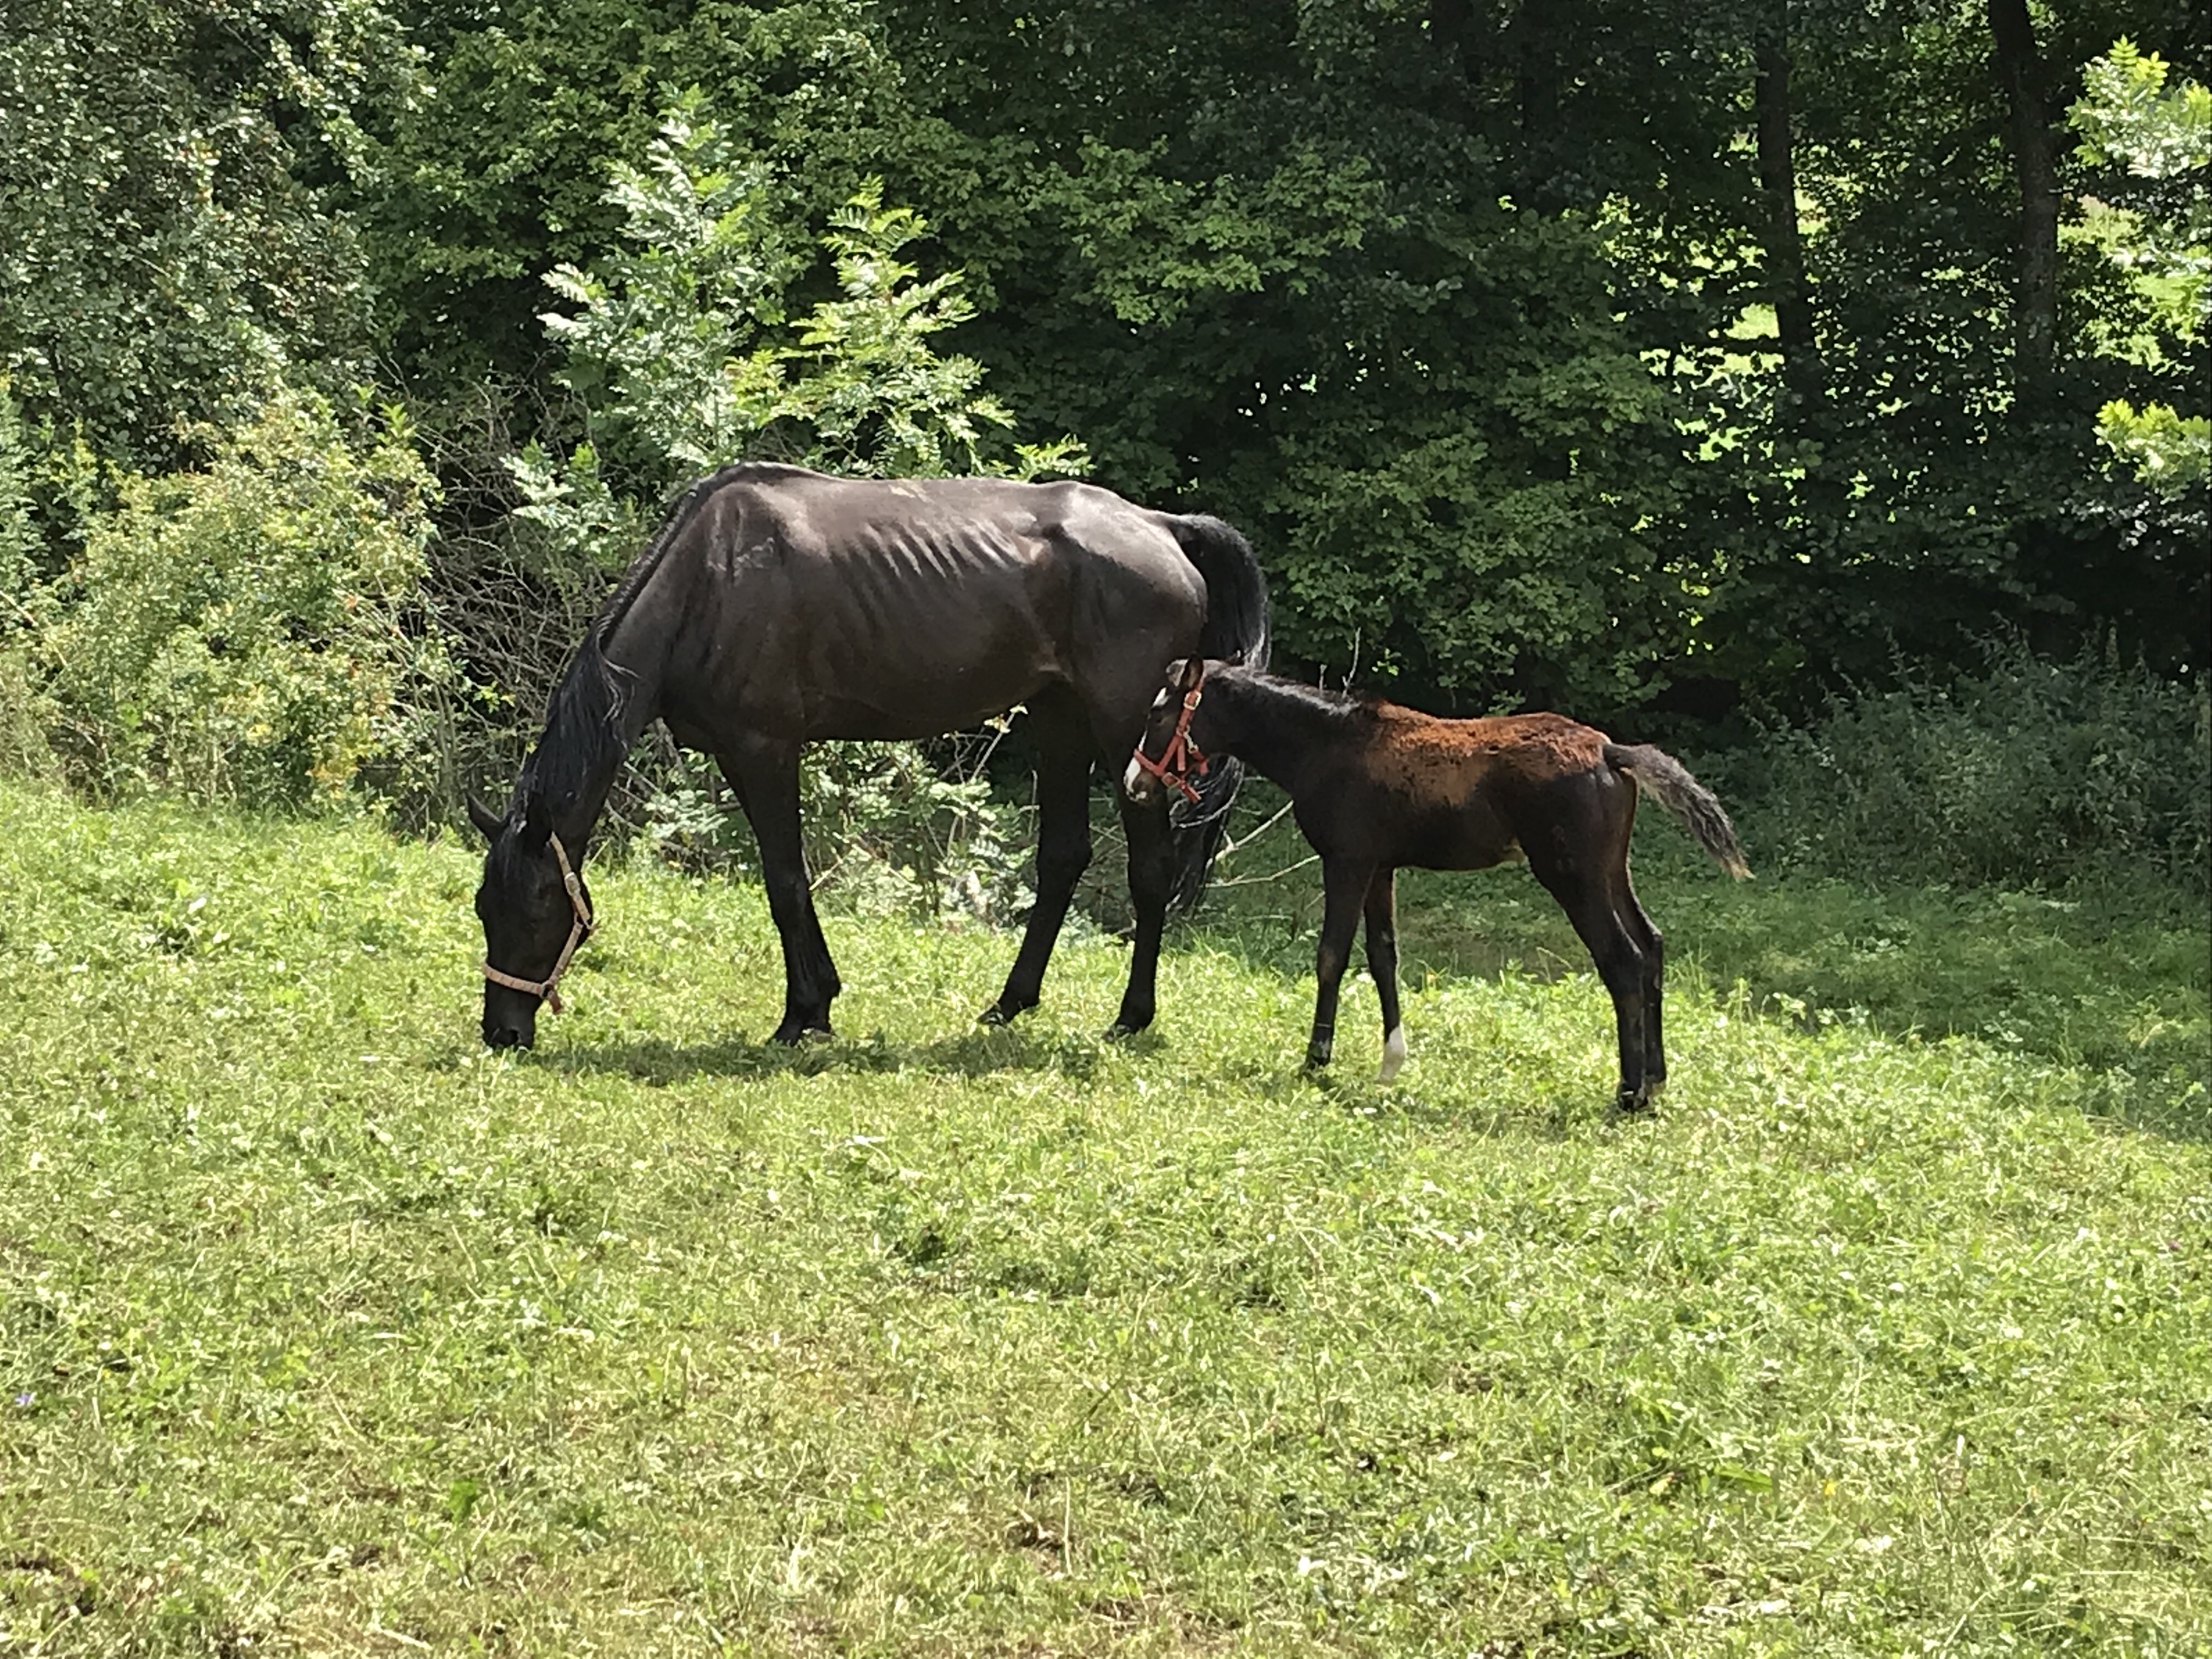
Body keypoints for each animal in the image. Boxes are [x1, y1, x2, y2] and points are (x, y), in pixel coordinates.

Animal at [470, 463, 1270, 1050]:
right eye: (484, 907)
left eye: (538, 908)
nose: (503, 1033)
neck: (710, 578)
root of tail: (1162, 527)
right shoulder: (740, 753)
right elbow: (790, 882)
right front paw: (817, 1006)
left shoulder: (765, 749)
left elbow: (785, 882)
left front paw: (802, 1014)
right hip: (1061, 720)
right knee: (1063, 858)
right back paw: (1010, 1003)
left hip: (1123, 730)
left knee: (1150, 869)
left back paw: (1132, 1015)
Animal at [1124, 658, 1748, 1108]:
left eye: (1158, 716)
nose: (1135, 782)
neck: (1327, 744)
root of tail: (1610, 751)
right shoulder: (1381, 867)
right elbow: (1383, 957)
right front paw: (1390, 1061)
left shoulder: (1346, 862)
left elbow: (1331, 955)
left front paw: (1316, 1057)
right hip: (1610, 871)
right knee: (1651, 946)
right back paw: (1657, 1079)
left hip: (1573, 879)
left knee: (1622, 960)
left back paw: (1629, 1092)